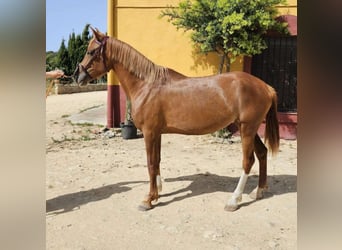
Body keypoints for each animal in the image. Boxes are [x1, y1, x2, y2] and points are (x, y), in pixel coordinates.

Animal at [73, 27, 280, 211]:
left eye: (91, 51)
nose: (77, 76)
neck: (146, 85)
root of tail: (265, 87)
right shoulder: (156, 133)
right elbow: (156, 161)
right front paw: (157, 193)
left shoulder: (149, 132)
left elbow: (150, 163)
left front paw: (148, 200)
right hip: (249, 128)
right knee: (262, 154)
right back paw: (258, 191)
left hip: (247, 129)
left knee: (248, 161)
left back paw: (234, 201)